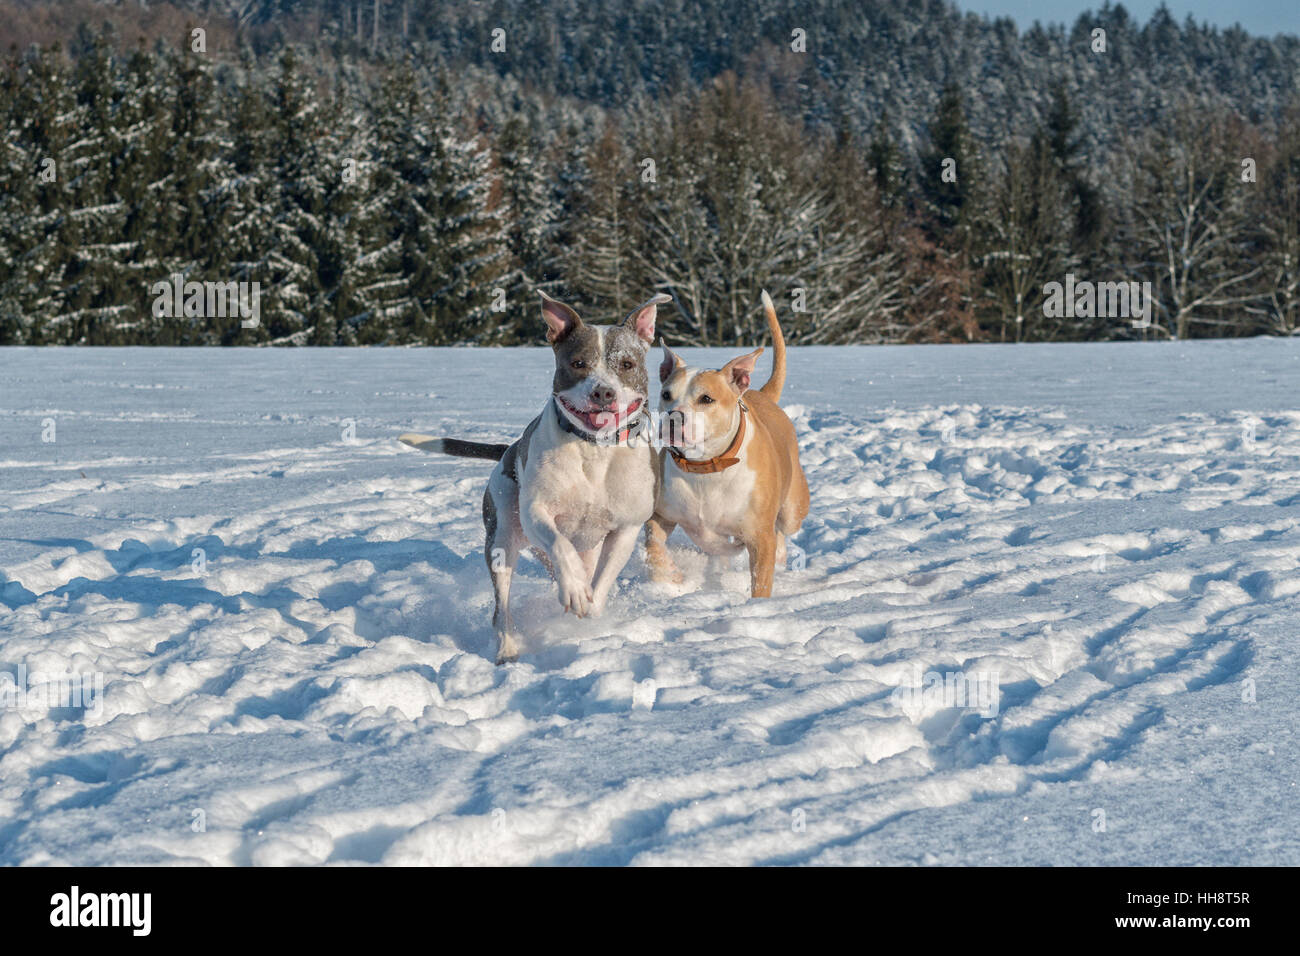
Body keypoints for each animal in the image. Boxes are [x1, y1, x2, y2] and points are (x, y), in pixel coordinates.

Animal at [397, 291, 665, 665]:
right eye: (578, 363)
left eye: (626, 364)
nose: (603, 393)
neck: (595, 450)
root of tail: (507, 450)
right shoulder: (537, 511)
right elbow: (561, 545)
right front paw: (575, 589)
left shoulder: (627, 526)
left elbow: (604, 577)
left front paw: (590, 603)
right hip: (502, 537)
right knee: (502, 607)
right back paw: (508, 648)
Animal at [644, 290, 806, 598]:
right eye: (666, 394)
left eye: (706, 399)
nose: (673, 418)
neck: (706, 467)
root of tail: (761, 394)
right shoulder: (660, 513)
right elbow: (653, 548)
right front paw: (669, 580)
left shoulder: (759, 537)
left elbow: (761, 581)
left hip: (793, 508)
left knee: (783, 530)